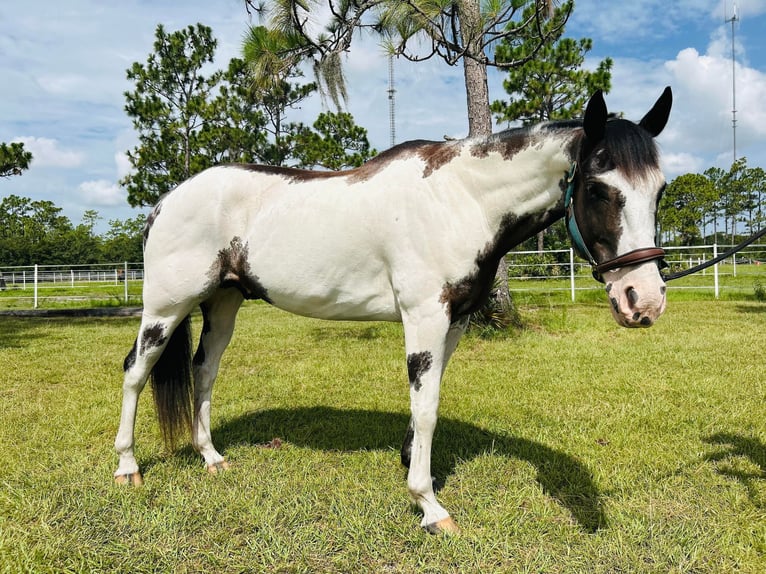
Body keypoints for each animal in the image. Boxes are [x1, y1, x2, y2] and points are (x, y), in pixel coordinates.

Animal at [114, 87, 673, 534]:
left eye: (660, 190)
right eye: (598, 189)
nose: (642, 301)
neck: (460, 199)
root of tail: (165, 202)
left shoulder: (454, 321)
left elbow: (429, 399)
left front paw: (413, 467)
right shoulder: (425, 316)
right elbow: (426, 407)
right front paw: (429, 506)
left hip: (223, 303)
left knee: (203, 371)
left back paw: (211, 458)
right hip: (166, 306)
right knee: (136, 371)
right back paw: (127, 468)